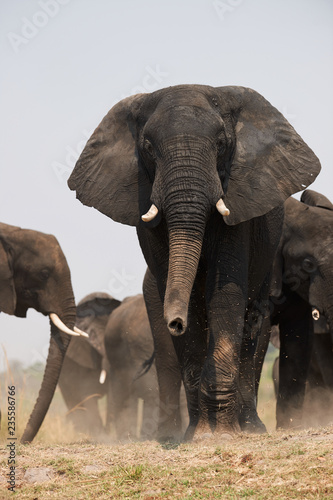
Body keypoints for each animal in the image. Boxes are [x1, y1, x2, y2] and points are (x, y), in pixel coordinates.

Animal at [67, 84, 320, 440]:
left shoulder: (238, 203)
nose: (175, 322)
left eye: (221, 144)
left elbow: (226, 294)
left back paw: (250, 428)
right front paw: (197, 435)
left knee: (252, 322)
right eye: (148, 148)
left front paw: (222, 435)